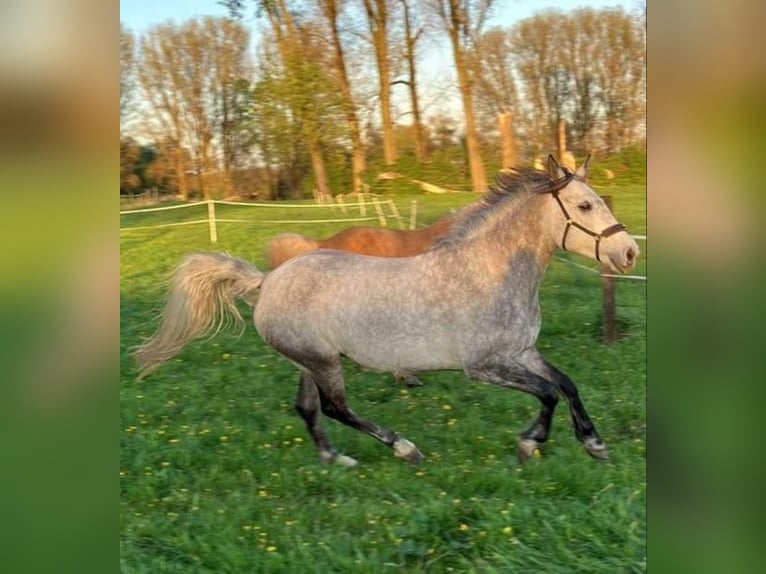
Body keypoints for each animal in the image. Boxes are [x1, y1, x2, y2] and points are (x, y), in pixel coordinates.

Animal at [136, 156, 640, 468]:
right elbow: (548, 394)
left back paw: (335, 458)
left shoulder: (522, 352)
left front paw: (594, 445)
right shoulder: (484, 366)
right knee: (336, 408)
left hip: (309, 361)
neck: (490, 270)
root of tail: (266, 282)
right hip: (323, 361)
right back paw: (405, 449)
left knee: (307, 408)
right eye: (583, 205)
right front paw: (528, 444)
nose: (629, 252)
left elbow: (566, 384)